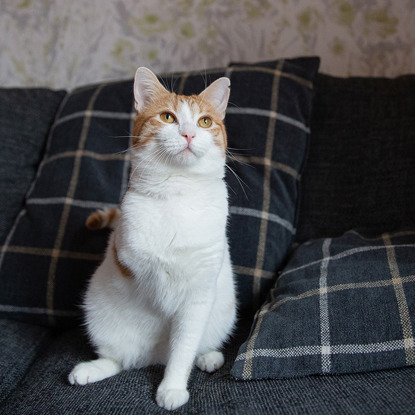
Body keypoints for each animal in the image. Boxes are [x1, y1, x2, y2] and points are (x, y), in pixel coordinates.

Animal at [68, 66, 237, 412]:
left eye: (205, 122)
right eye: (168, 117)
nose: (188, 134)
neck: (178, 190)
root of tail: (153, 357)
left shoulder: (199, 293)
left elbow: (182, 348)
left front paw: (171, 388)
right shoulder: (128, 251)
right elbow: (151, 268)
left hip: (221, 314)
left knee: (194, 348)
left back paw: (209, 358)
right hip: (100, 318)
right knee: (119, 360)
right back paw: (89, 370)